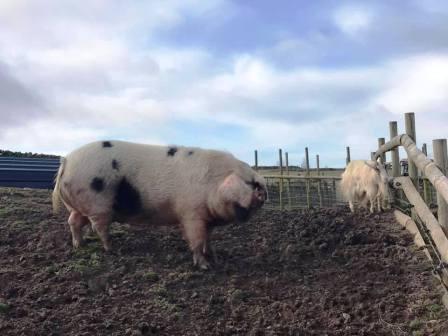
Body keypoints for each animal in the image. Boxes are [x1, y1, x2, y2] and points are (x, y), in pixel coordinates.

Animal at [54, 140, 268, 270]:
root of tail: (67, 162)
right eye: (251, 183)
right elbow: (197, 240)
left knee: (73, 222)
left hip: (79, 206)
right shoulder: (191, 215)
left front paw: (215, 257)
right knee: (99, 228)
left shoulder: (206, 218)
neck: (214, 184)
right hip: (98, 206)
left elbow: (208, 239)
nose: (264, 191)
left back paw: (79, 245)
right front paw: (204, 266)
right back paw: (112, 249)